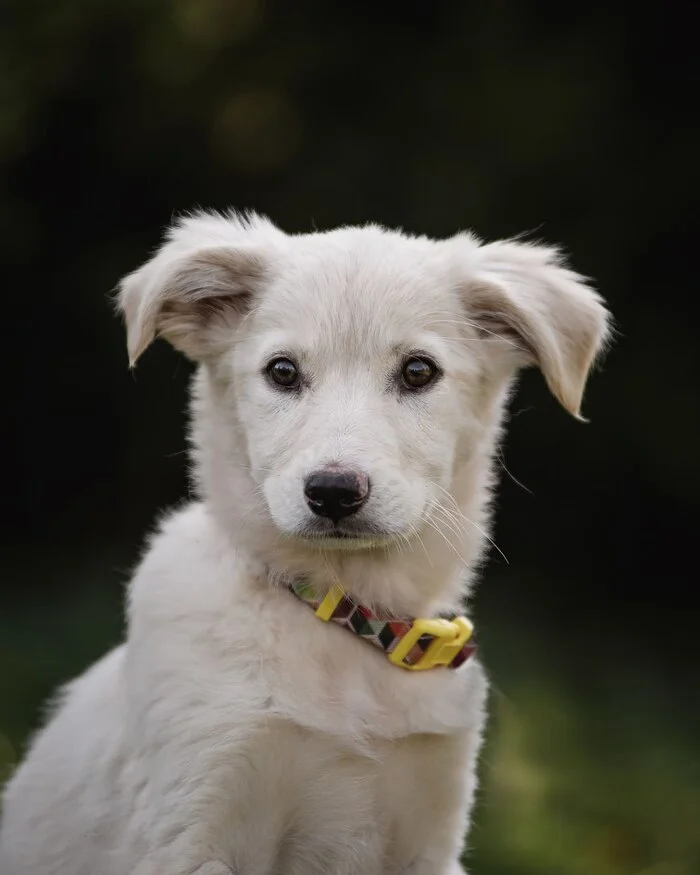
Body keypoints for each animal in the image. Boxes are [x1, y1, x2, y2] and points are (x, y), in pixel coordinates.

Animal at [0, 214, 608, 875]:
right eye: (282, 371)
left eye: (419, 371)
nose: (334, 492)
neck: (341, 617)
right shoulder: (192, 824)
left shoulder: (428, 839)